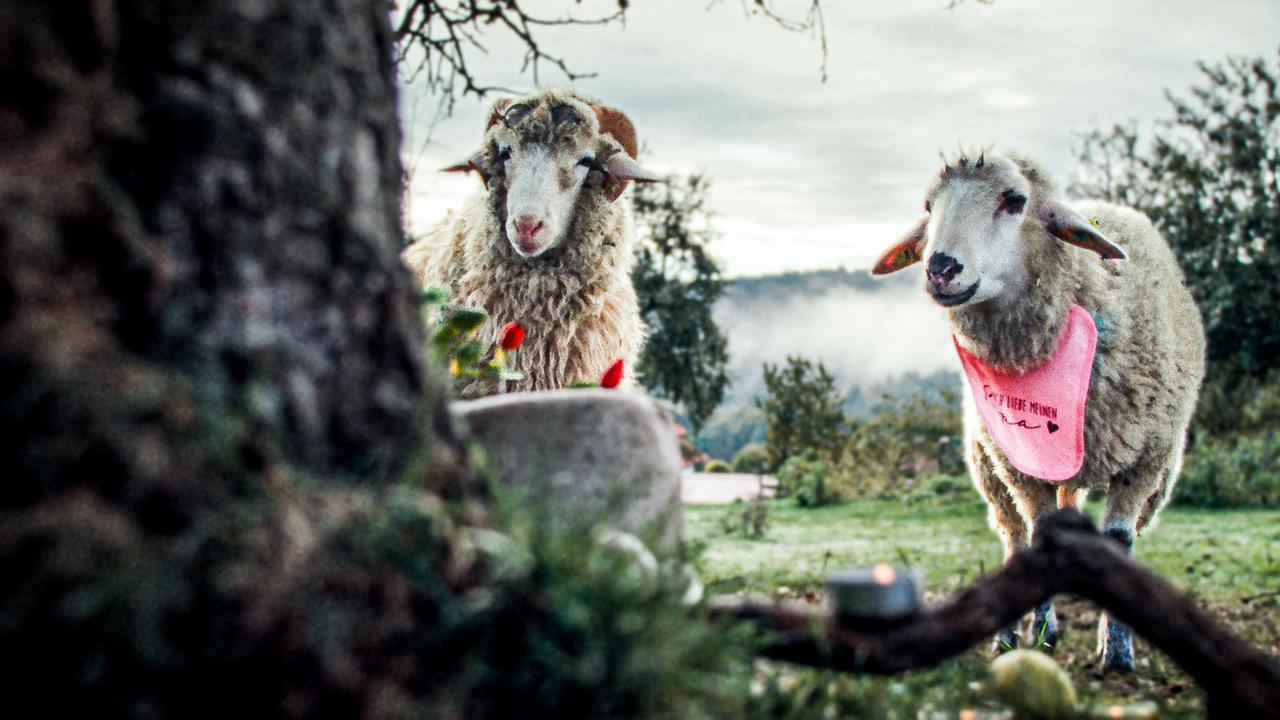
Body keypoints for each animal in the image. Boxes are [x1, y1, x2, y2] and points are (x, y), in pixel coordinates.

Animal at [872, 152, 1205, 672]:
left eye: (1015, 200)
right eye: (929, 206)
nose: (940, 268)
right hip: (992, 465)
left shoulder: (1146, 462)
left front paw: (1117, 652)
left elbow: (1119, 544)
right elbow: (1038, 542)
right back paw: (1009, 636)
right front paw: (1044, 632)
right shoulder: (1019, 463)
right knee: (1015, 540)